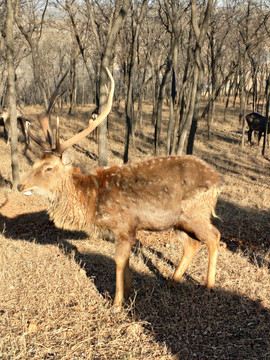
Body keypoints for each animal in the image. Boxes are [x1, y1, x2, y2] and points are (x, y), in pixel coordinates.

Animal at [17, 67, 223, 306]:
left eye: (48, 168)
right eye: (34, 163)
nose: (20, 185)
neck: (92, 201)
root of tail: (219, 180)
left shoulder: (124, 225)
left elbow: (118, 261)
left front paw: (116, 304)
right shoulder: (124, 231)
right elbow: (126, 263)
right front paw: (130, 290)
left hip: (196, 213)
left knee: (214, 236)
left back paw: (208, 286)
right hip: (179, 221)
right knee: (192, 244)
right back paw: (172, 281)